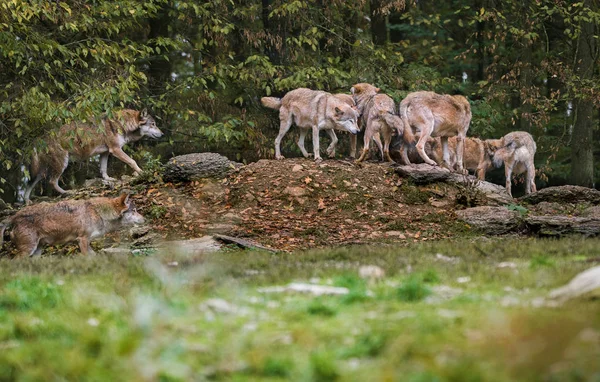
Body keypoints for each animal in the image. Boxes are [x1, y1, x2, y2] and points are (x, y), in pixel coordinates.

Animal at [0, 194, 145, 256]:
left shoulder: (86, 242)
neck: (98, 213)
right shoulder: (82, 240)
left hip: (36, 251)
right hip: (29, 250)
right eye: (134, 210)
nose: (145, 219)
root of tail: (13, 217)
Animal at [24, 108, 162, 203]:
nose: (163, 134)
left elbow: (103, 169)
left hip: (41, 171)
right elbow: (132, 161)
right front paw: (142, 172)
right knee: (52, 181)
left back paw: (27, 201)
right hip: (62, 163)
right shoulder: (116, 150)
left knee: (30, 183)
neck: (122, 124)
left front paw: (109, 179)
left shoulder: (105, 152)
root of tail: (41, 138)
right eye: (153, 124)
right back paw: (68, 192)